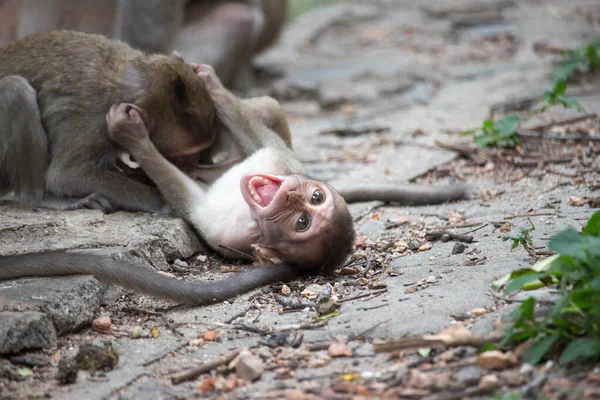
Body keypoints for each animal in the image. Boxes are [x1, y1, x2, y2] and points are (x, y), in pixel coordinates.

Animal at [0, 65, 468, 304]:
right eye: (313, 198)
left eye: (302, 222)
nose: (293, 193)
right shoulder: (280, 162)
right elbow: (260, 141)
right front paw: (208, 81)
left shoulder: (227, 230)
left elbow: (187, 200)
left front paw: (133, 136)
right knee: (265, 109)